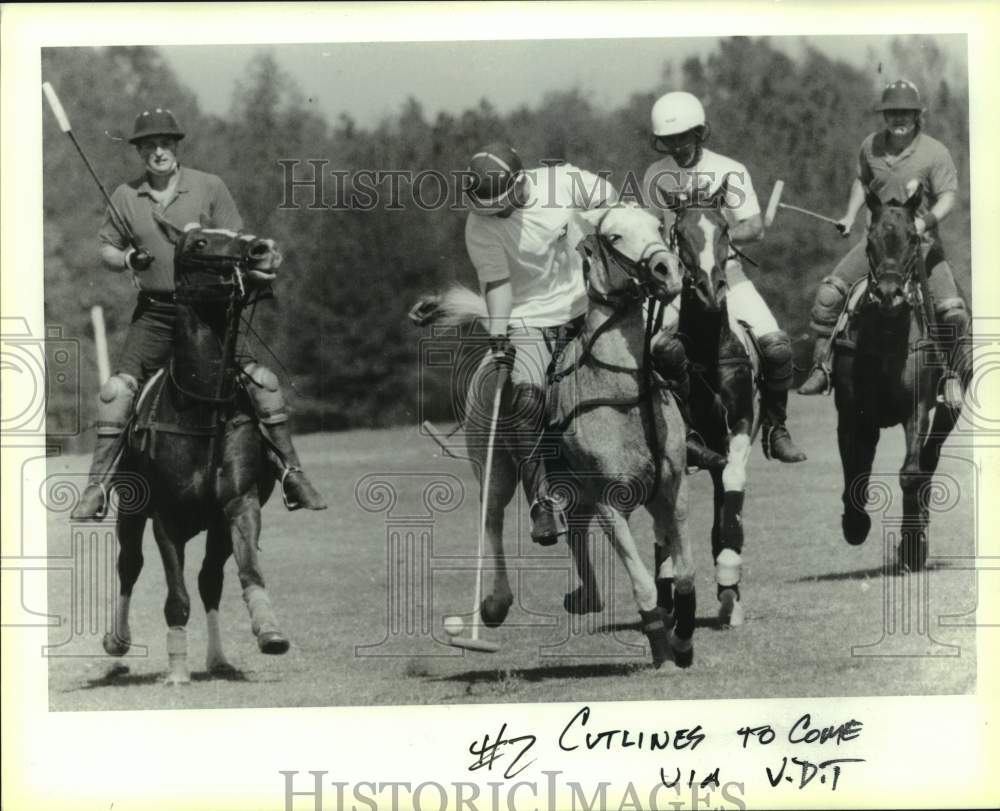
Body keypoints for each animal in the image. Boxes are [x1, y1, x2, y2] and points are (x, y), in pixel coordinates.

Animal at [104, 224, 290, 684]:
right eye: (199, 243)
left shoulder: (238, 504)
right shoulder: (165, 519)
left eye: (238, 232)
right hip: (130, 511)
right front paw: (176, 672)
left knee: (209, 580)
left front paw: (269, 631)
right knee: (129, 565)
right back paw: (116, 643)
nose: (264, 250)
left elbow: (244, 570)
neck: (200, 407)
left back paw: (218, 659)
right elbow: (176, 597)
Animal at [828, 190, 960, 572]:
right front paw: (855, 525)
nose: (889, 294)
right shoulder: (851, 412)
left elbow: (910, 472)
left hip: (948, 410)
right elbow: (854, 467)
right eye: (870, 241)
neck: (888, 333)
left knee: (928, 461)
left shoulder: (918, 407)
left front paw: (912, 544)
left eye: (913, 238)